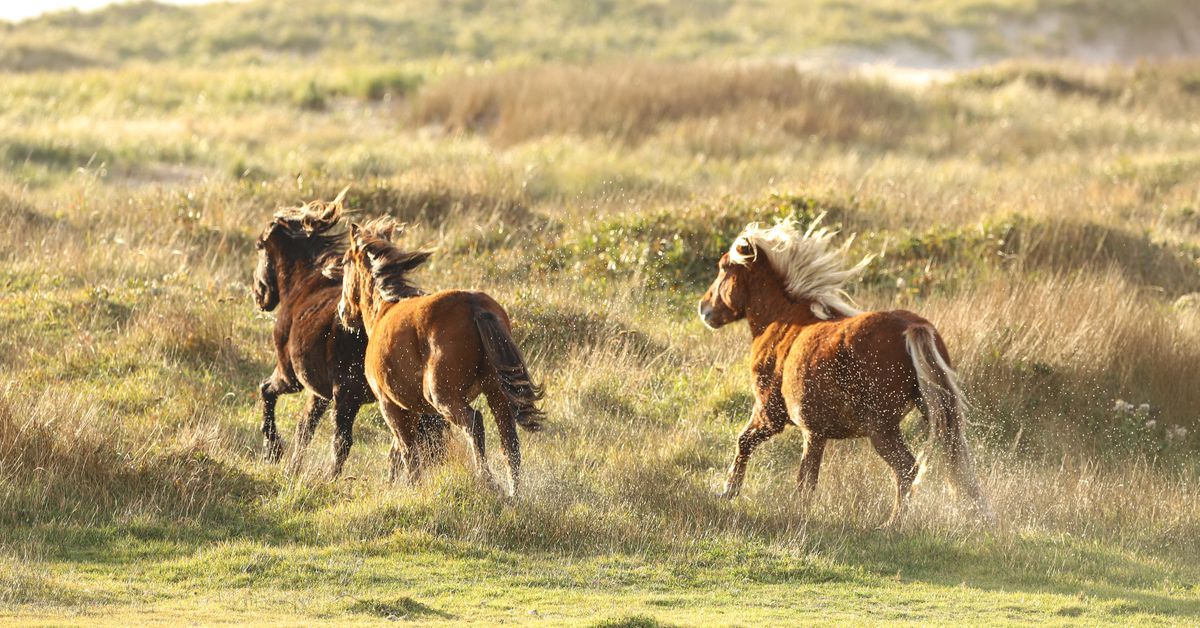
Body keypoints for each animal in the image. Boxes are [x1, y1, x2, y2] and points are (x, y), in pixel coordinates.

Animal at [252, 193, 445, 477]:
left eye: (259, 246)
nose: (258, 295)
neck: (302, 283)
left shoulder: (296, 378)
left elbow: (267, 391)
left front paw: (274, 450)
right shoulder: (321, 393)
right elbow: (304, 429)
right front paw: (291, 466)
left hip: (349, 395)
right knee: (409, 446)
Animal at [336, 218, 544, 495]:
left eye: (345, 262)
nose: (342, 311)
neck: (384, 310)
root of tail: (473, 304)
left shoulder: (391, 406)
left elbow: (407, 453)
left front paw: (412, 489)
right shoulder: (410, 409)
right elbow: (397, 453)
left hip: (443, 396)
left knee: (475, 424)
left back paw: (489, 482)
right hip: (496, 392)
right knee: (509, 439)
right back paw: (514, 492)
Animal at [698, 216, 990, 527]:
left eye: (724, 267)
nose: (704, 309)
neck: (782, 323)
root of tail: (914, 328)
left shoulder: (770, 414)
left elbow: (745, 442)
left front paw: (728, 491)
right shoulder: (815, 432)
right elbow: (807, 477)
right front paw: (799, 510)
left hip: (881, 428)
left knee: (907, 468)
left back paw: (892, 523)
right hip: (934, 411)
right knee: (959, 465)